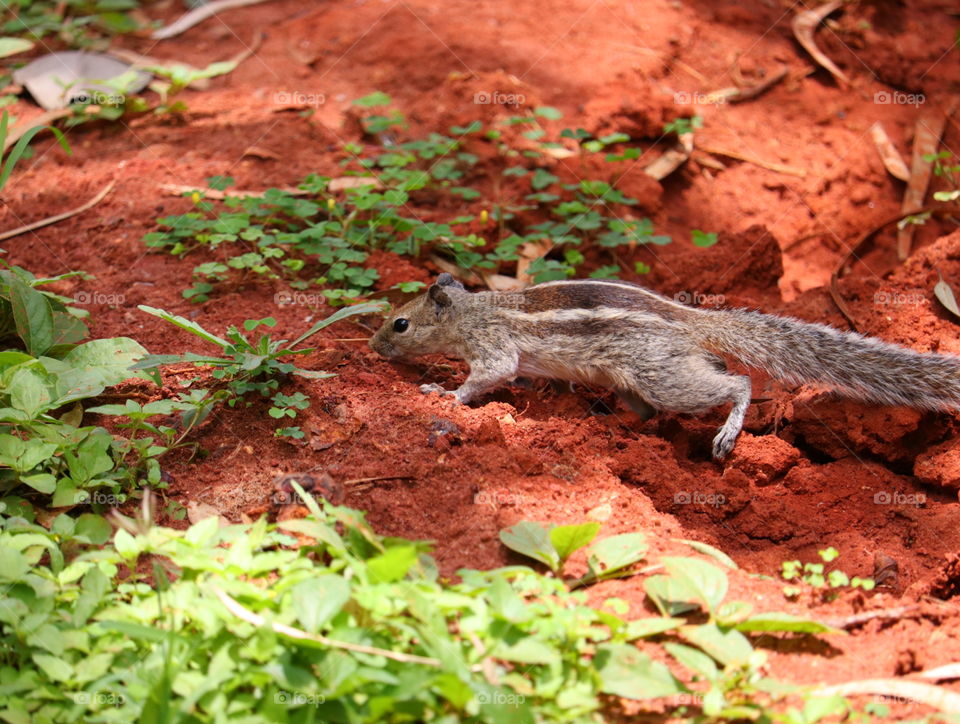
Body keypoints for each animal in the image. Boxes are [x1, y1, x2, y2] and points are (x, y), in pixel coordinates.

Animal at [369, 273, 960, 459]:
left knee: (738, 381)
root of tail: (695, 324)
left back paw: (727, 431)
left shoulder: (493, 347)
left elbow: (489, 376)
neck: (471, 311)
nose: (373, 346)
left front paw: (445, 394)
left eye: (400, 324)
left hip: (662, 375)